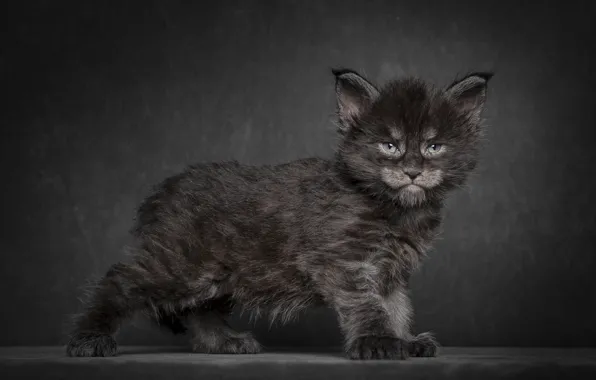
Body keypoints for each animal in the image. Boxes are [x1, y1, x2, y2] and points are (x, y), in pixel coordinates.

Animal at [66, 66, 494, 360]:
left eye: (434, 146)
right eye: (389, 145)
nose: (412, 171)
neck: (393, 207)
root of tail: (166, 190)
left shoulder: (392, 270)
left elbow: (396, 306)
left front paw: (404, 339)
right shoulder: (344, 260)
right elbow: (368, 303)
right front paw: (378, 341)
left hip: (218, 274)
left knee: (201, 310)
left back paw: (224, 342)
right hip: (181, 265)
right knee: (121, 280)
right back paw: (90, 337)